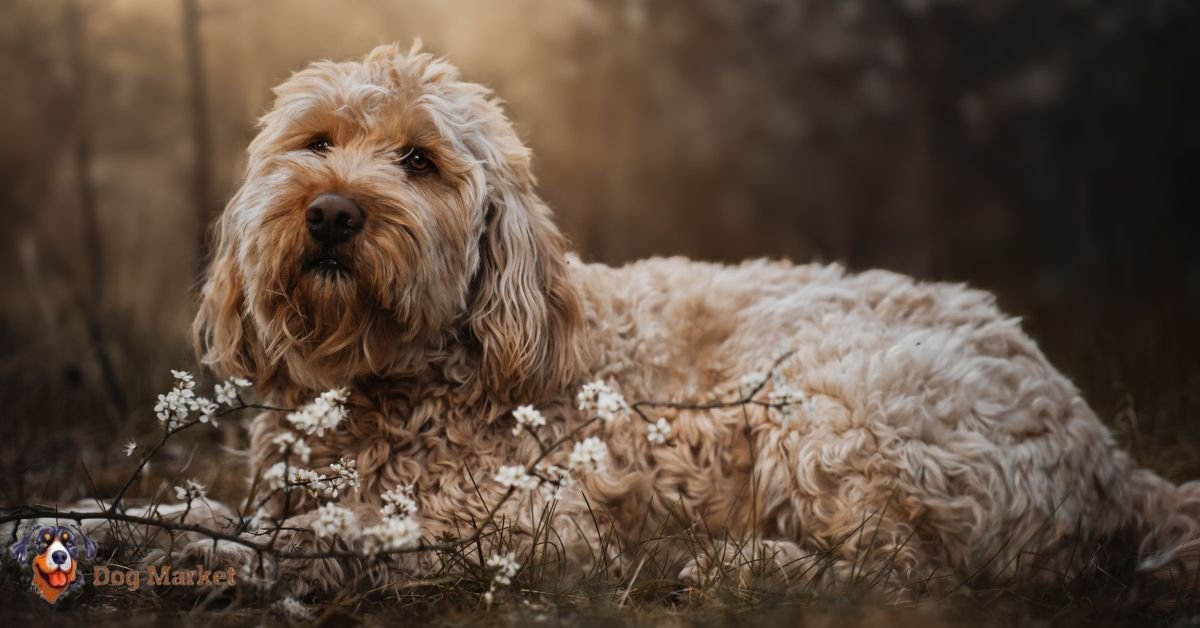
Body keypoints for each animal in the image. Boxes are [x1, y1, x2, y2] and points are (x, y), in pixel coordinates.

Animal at [187, 41, 1200, 597]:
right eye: (316, 142)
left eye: (420, 161)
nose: (331, 213)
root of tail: (1111, 459)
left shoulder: (538, 527)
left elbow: (358, 528)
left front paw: (284, 551)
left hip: (828, 398)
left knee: (910, 573)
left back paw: (744, 568)